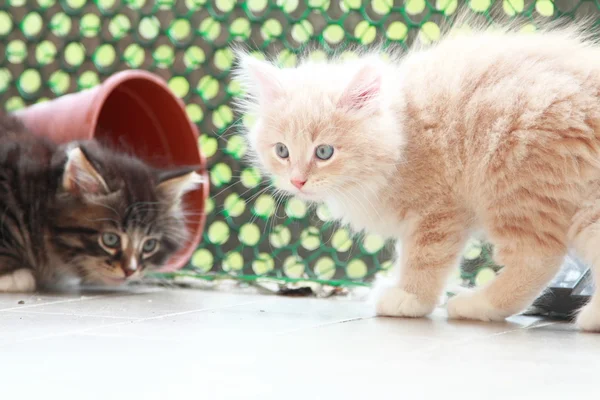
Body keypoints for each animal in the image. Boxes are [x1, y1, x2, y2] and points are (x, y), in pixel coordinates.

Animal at [233, 21, 600, 332]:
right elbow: (405, 255)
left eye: (324, 152)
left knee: (538, 257)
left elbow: (424, 259)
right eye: (282, 151)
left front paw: (410, 298)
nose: (297, 181)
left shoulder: (437, 210)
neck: (403, 133)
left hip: (514, 186)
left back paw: (479, 305)